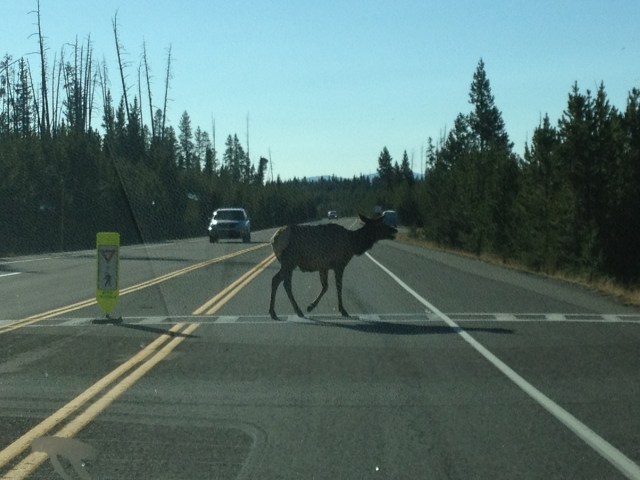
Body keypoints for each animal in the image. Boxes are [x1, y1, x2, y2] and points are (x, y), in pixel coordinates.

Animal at [269, 214, 397, 320]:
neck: (353, 245)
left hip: (288, 264)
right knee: (282, 282)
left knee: (278, 281)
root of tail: (273, 239)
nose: (394, 229)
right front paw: (343, 310)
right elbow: (339, 287)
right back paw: (293, 311)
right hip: (289, 261)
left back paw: (275, 312)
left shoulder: (323, 267)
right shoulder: (339, 264)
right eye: (380, 224)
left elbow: (325, 287)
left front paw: (311, 306)